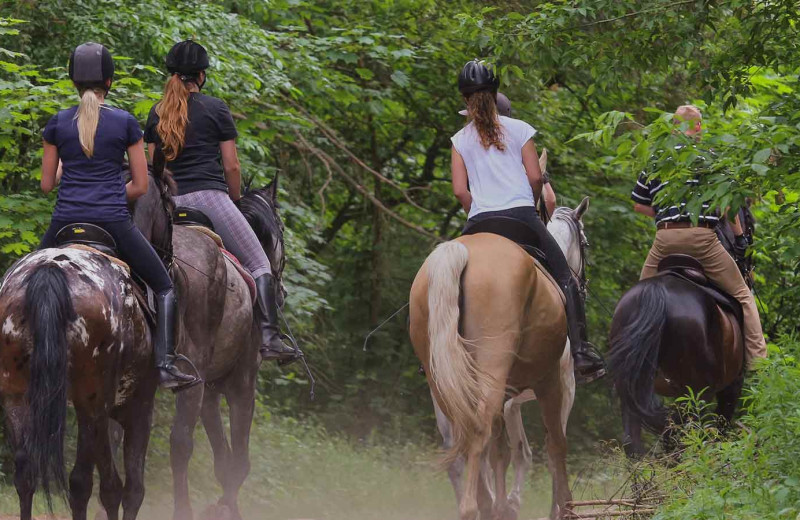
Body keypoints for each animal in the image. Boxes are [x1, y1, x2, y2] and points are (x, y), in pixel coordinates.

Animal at [0, 237, 159, 520]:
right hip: (92, 403)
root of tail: (49, 269)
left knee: (26, 473)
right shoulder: (139, 407)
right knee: (92, 483)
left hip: (16, 396)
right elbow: (130, 489)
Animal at [133, 166, 290, 520]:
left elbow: (222, 460)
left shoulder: (210, 391)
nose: (283, 292)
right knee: (179, 443)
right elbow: (238, 463)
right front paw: (226, 506)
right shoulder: (241, 384)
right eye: (282, 231)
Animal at [410, 199, 592, 520]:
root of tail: (459, 254)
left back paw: (485, 502)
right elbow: (554, 445)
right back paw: (476, 506)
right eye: (585, 243)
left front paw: (504, 503)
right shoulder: (559, 385)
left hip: (445, 385)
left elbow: (506, 452)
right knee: (480, 434)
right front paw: (560, 508)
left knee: (461, 444)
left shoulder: (509, 401)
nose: (584, 284)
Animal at [608, 246, 748, 458]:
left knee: (633, 442)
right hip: (698, 392)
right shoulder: (732, 385)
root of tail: (656, 290)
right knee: (689, 436)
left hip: (631, 387)